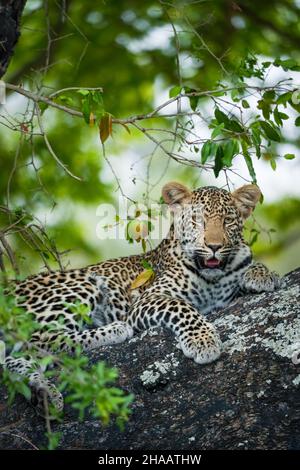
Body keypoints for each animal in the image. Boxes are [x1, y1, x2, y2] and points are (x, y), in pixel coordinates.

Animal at [1, 181, 282, 414]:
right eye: (197, 220)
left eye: (227, 221)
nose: (214, 246)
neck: (211, 276)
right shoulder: (148, 298)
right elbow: (182, 307)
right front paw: (203, 341)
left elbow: (248, 267)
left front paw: (260, 275)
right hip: (81, 285)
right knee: (38, 338)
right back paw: (114, 330)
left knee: (14, 359)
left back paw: (44, 395)